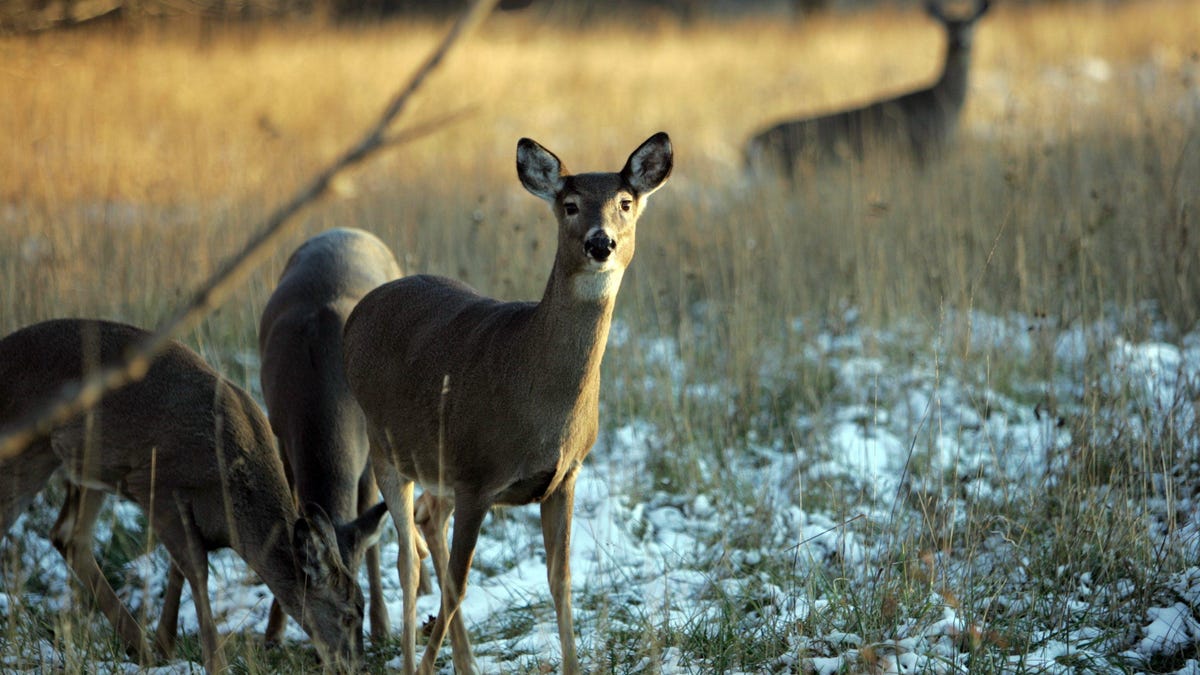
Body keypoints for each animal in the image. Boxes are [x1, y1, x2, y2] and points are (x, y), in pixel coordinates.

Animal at [0, 319, 388, 674]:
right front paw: (215, 663)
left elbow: (180, 570)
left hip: (89, 465)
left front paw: (164, 646)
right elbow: (197, 571)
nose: (354, 664)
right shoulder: (157, 486)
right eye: (349, 614)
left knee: (68, 535)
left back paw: (138, 646)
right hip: (28, 451)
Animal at [257, 227, 402, 646]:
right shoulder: (282, 435)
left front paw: (383, 626)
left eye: (359, 603)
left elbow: (370, 534)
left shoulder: (370, 447)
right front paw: (273, 632)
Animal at [341, 131, 673, 674]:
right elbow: (457, 586)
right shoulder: (477, 475)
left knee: (428, 518)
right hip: (385, 442)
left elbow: (561, 581)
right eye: (569, 204)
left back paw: (466, 663)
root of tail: (360, 310)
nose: (601, 242)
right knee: (407, 560)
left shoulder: (565, 476)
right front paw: (429, 664)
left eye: (625, 203)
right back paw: (417, 658)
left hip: (437, 463)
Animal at [744, 0, 991, 175]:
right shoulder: (922, 147)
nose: (959, 42)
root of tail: (755, 140)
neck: (941, 101)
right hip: (795, 168)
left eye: (971, 24)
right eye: (946, 27)